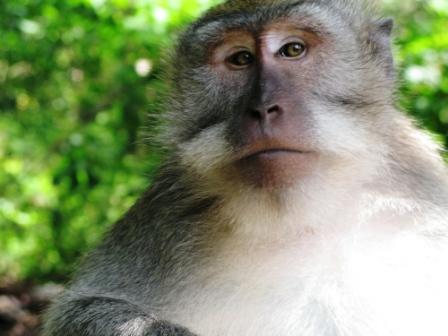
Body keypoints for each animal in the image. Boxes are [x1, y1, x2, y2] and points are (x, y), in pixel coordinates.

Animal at [43, 0, 448, 334]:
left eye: (293, 50)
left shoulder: (420, 206)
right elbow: (83, 308)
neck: (298, 217)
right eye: (240, 59)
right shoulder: (167, 208)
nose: (263, 107)